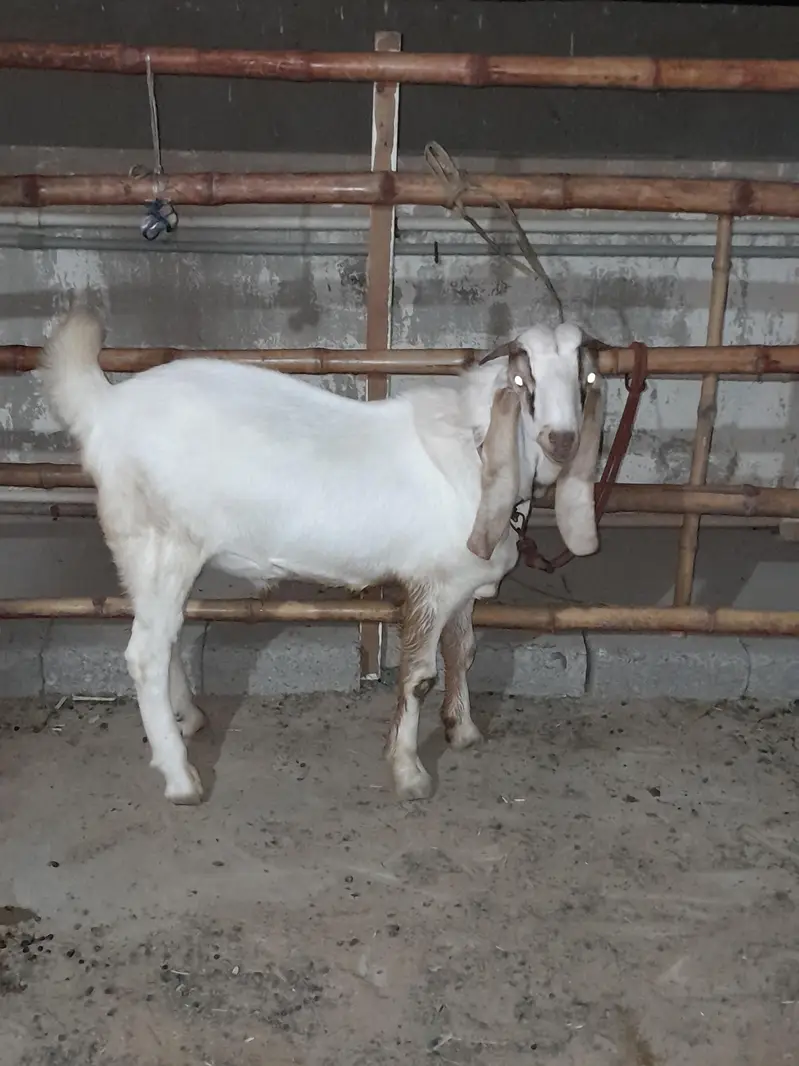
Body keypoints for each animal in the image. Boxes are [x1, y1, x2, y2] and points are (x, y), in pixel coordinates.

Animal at [39, 305, 605, 805]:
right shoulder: (430, 582)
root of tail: (104, 407)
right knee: (145, 654)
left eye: (585, 376)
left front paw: (462, 730)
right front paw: (409, 773)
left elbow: (461, 651)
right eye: (524, 381)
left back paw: (190, 720)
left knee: (165, 636)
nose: (561, 438)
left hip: (148, 554)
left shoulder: (461, 583)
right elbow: (419, 676)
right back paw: (181, 779)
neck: (475, 445)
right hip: (161, 543)